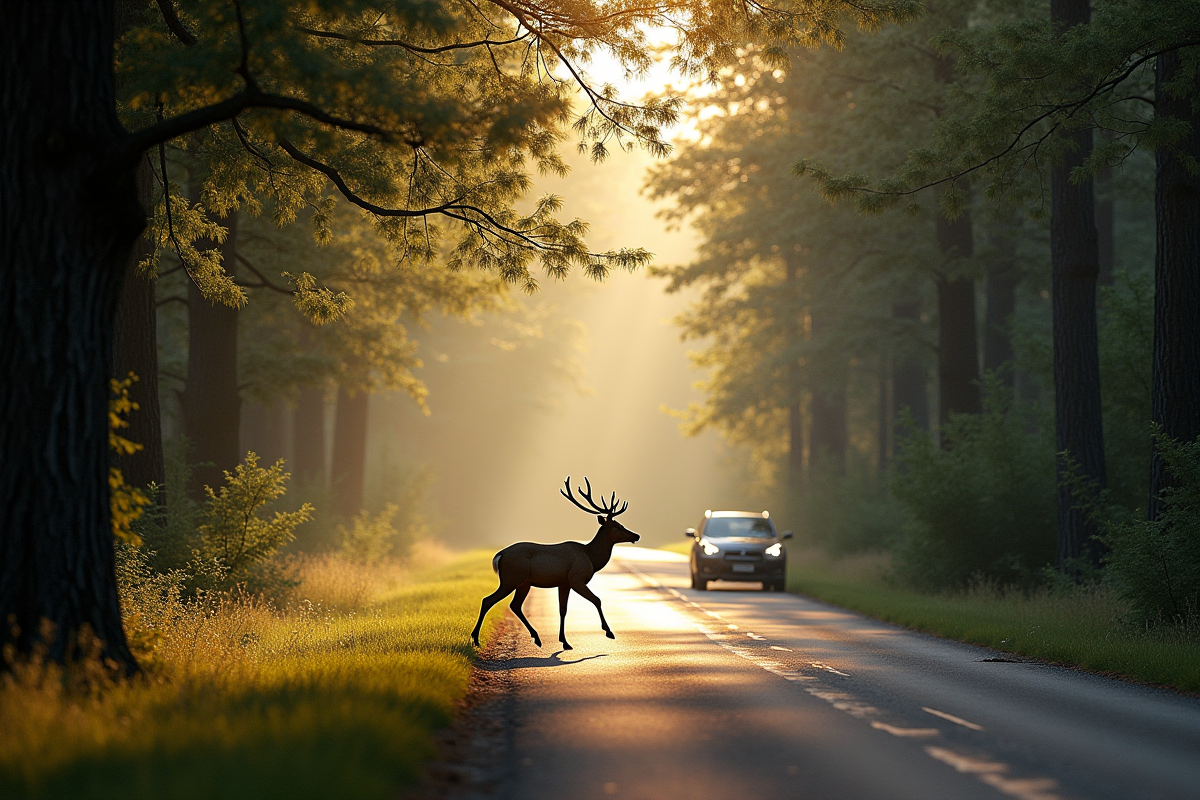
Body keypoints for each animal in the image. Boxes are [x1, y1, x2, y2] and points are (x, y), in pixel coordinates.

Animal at [465, 474, 638, 652]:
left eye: (621, 524)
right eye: (616, 526)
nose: (636, 535)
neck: (591, 557)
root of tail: (499, 556)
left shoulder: (564, 583)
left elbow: (563, 609)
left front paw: (565, 641)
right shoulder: (576, 578)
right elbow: (597, 599)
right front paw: (609, 632)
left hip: (523, 583)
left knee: (515, 605)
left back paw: (536, 637)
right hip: (511, 578)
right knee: (488, 600)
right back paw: (476, 639)